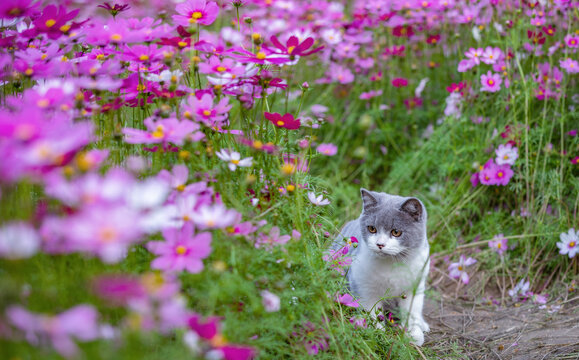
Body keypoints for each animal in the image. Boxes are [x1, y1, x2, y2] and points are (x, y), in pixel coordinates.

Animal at [336, 188, 430, 346]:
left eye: (396, 232)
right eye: (372, 229)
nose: (380, 244)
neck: (392, 263)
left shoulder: (415, 286)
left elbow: (412, 311)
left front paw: (413, 334)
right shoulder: (364, 287)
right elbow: (371, 312)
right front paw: (377, 333)